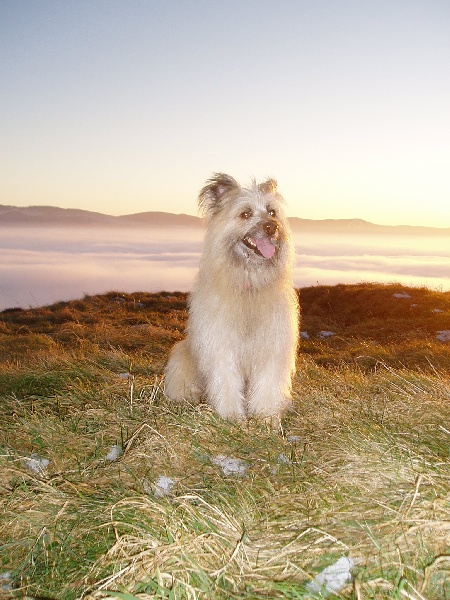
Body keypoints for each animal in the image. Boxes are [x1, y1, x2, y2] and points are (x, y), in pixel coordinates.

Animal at [164, 171, 298, 420]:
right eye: (245, 214)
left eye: (272, 212)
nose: (271, 227)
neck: (249, 285)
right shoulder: (221, 347)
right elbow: (225, 380)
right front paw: (231, 416)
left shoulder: (272, 346)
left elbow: (267, 383)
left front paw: (266, 416)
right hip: (183, 356)